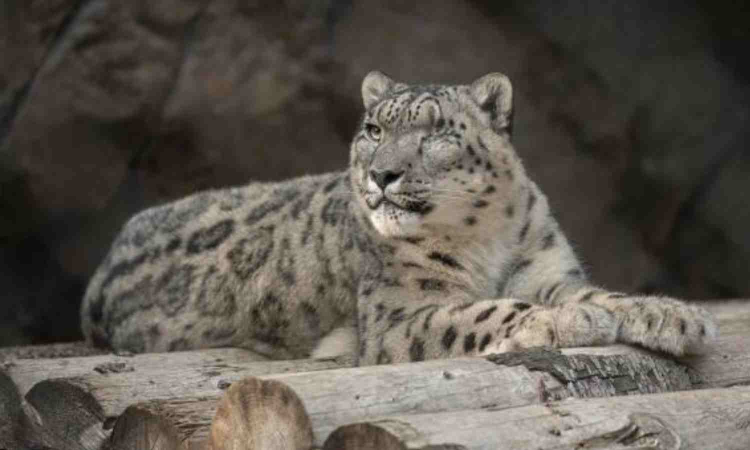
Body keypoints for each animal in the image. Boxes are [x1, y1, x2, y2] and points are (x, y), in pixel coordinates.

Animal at [80, 71, 717, 366]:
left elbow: (596, 293)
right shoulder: (400, 314)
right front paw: (565, 323)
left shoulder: (547, 271)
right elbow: (485, 311)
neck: (487, 238)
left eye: (435, 132)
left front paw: (671, 315)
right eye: (373, 129)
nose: (381, 174)